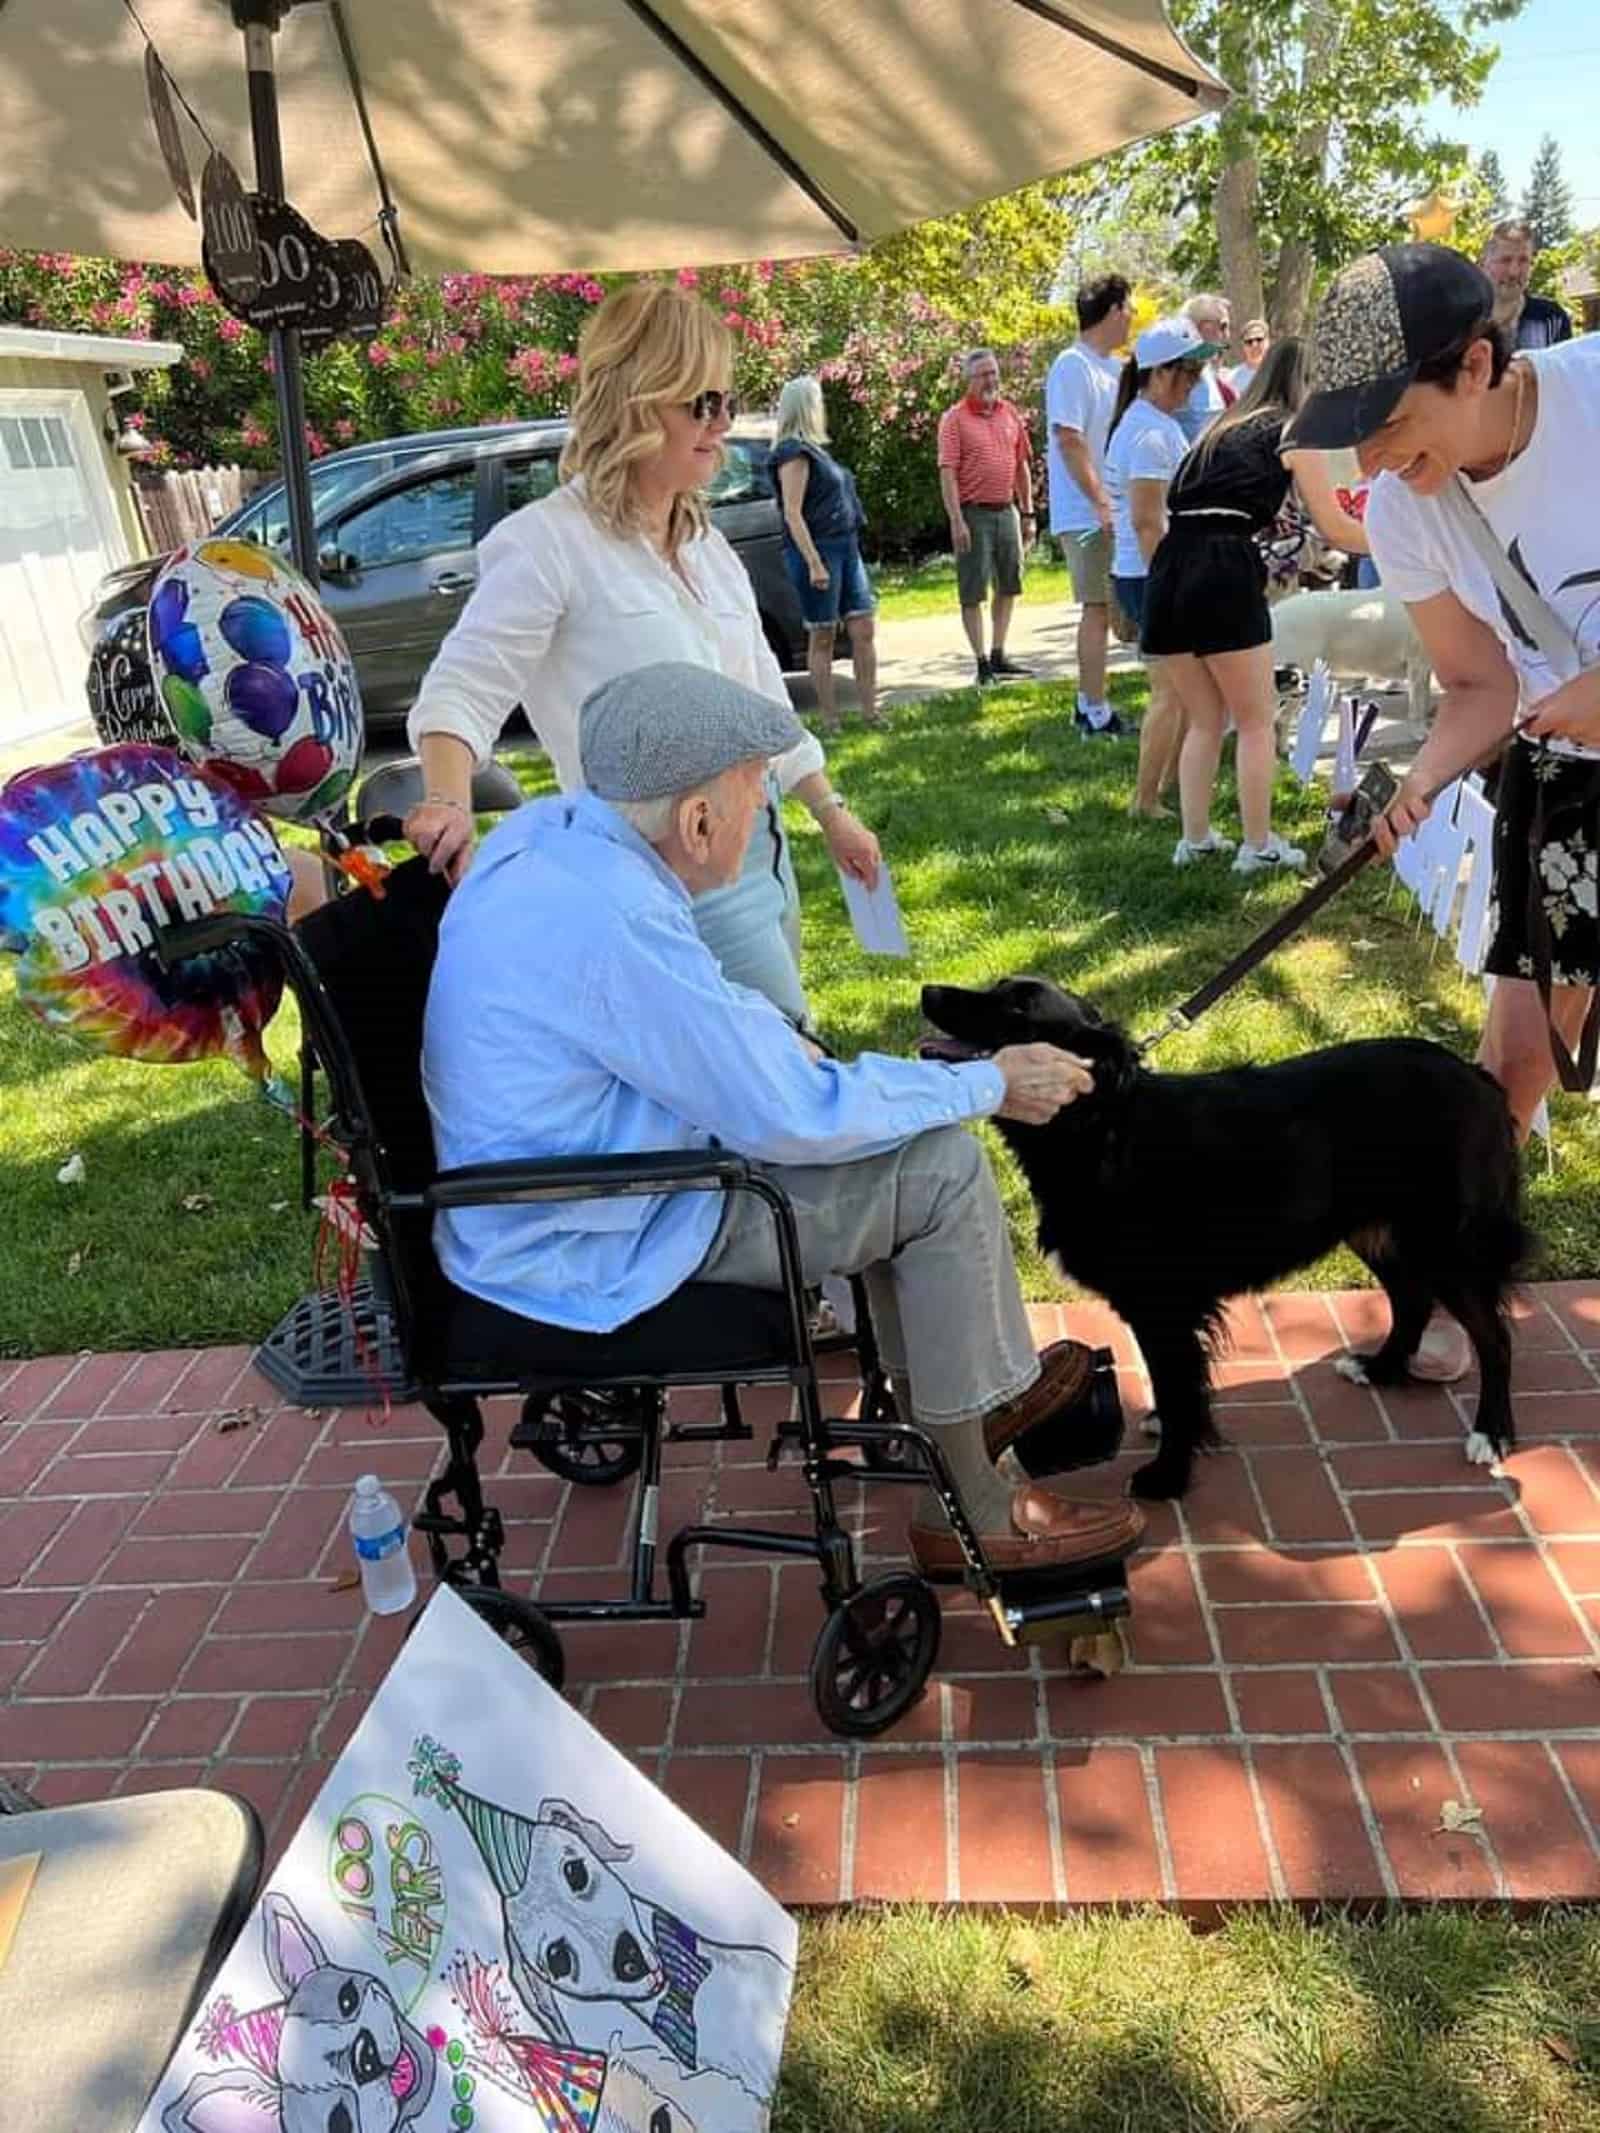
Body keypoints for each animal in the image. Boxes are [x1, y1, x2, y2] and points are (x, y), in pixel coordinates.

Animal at [925, 972, 1527, 1501]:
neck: (1102, 1124)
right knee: (1412, 1299)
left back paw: (1491, 1432)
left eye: (1018, 1008)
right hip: (1378, 1230)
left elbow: (1177, 1387)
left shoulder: (1162, 1306)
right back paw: (1379, 1367)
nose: (927, 991)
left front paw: (1167, 1477)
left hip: (1444, 1242)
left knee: (1494, 1336)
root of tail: (1478, 1078)